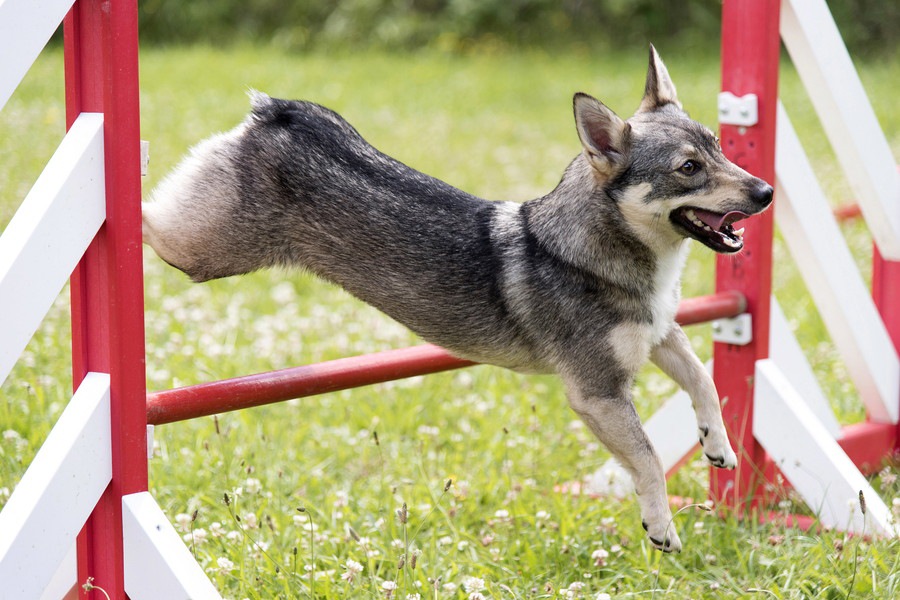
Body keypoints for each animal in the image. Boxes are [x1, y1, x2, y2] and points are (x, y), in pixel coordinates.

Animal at [142, 47, 772, 552]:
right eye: (688, 169)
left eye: (721, 147)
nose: (767, 191)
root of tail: (278, 114)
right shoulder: (599, 394)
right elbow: (647, 458)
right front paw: (661, 525)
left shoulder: (662, 334)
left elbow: (705, 382)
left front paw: (717, 445)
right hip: (200, 253)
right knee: (148, 217)